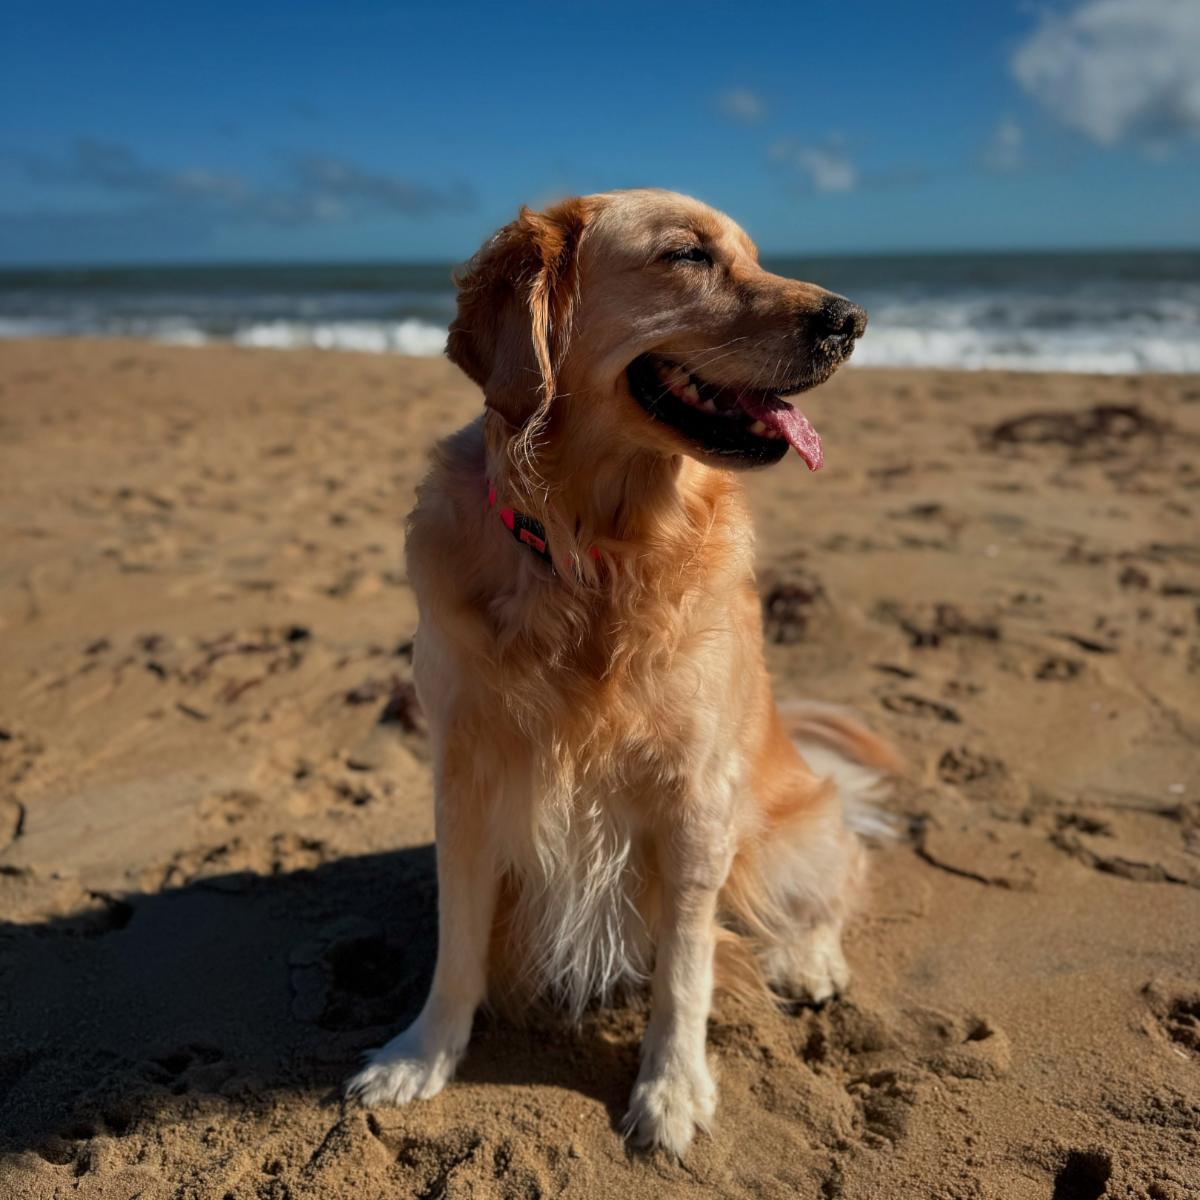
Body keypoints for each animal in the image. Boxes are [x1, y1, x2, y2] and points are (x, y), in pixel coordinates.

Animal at [348, 187, 902, 1152]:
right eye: (687, 255)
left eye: (755, 257)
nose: (852, 321)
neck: (595, 558)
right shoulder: (465, 773)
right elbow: (458, 935)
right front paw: (422, 1054)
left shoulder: (695, 797)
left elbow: (685, 966)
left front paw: (673, 1092)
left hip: (784, 825)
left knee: (832, 877)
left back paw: (809, 958)